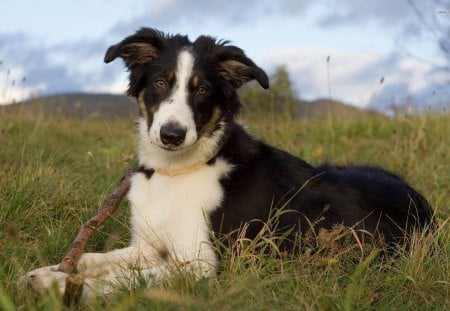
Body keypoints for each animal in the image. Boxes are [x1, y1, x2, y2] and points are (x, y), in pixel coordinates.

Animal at [26, 28, 434, 302]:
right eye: (160, 82)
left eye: (203, 89)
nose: (172, 135)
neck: (178, 170)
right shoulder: (148, 246)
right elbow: (95, 258)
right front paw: (49, 271)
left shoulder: (207, 265)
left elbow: (127, 278)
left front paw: (62, 286)